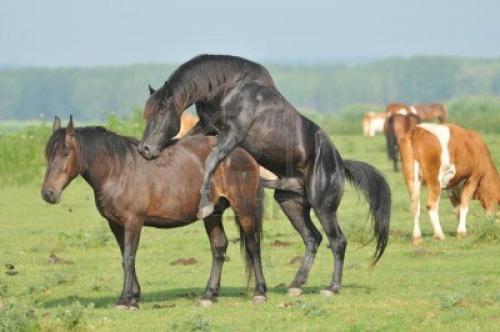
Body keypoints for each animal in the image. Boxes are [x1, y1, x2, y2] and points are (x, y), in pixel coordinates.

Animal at [40, 116, 266, 308]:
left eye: (66, 153)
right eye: (48, 154)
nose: (48, 193)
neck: (118, 170)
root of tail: (243, 154)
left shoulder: (133, 222)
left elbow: (129, 258)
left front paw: (125, 300)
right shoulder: (116, 224)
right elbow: (126, 257)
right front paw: (134, 295)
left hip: (243, 208)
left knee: (253, 244)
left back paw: (260, 292)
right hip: (211, 214)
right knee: (219, 247)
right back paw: (209, 295)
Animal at [139, 54, 392, 296]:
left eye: (161, 111)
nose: (145, 149)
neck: (230, 89)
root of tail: (340, 164)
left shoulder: (232, 135)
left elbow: (210, 159)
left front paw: (204, 205)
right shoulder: (207, 127)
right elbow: (185, 141)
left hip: (323, 207)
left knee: (337, 241)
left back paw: (332, 287)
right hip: (290, 202)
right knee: (313, 239)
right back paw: (296, 284)